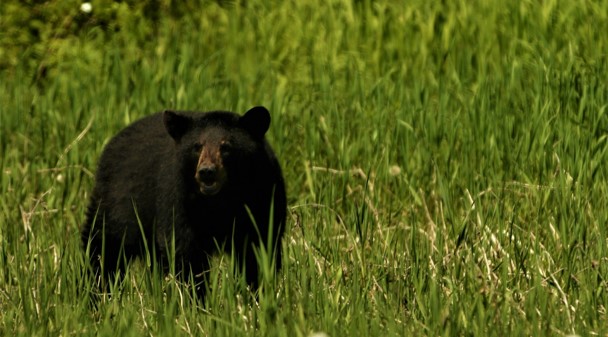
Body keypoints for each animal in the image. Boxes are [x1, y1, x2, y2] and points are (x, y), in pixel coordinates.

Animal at [81, 106, 288, 296]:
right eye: (197, 146)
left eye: (226, 146)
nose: (206, 171)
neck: (219, 200)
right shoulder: (178, 198)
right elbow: (184, 250)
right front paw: (196, 299)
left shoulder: (263, 196)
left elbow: (259, 247)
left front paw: (255, 293)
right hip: (117, 203)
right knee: (104, 247)